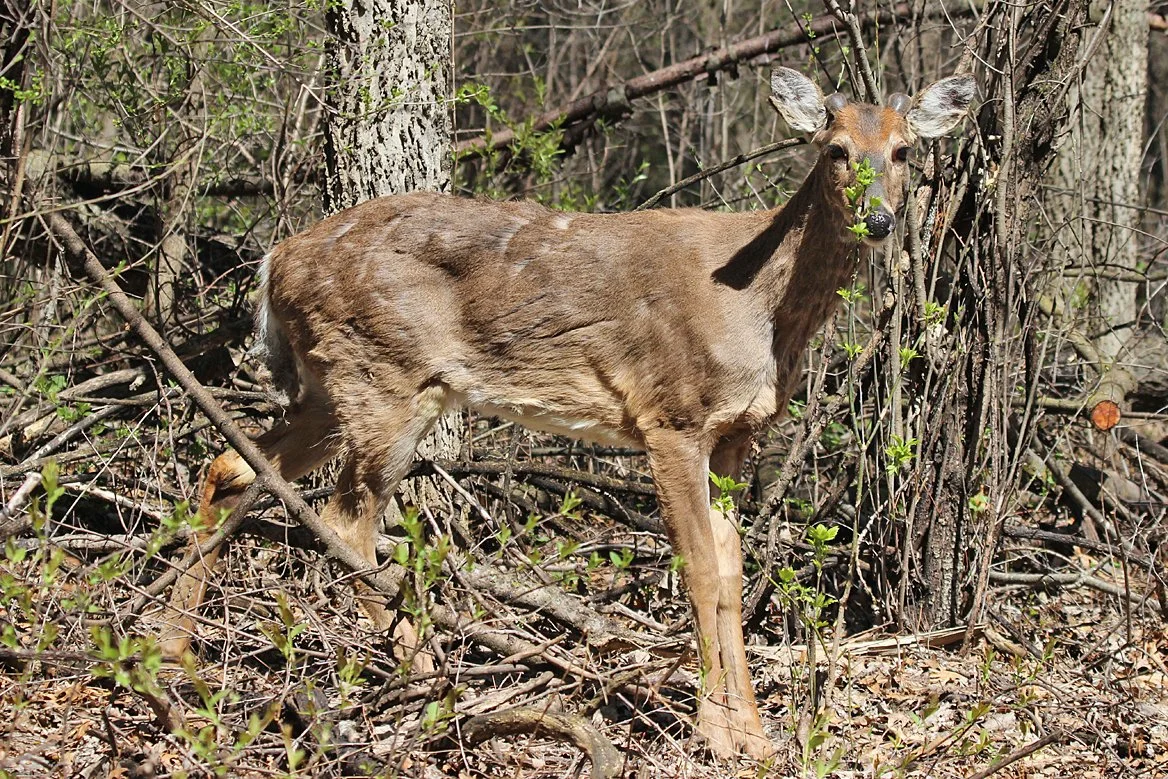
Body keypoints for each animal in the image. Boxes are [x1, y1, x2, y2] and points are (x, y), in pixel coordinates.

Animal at [157, 67, 974, 760]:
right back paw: (429, 677)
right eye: (835, 150)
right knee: (342, 521)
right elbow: (700, 571)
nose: (880, 219)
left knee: (232, 466)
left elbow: (735, 575)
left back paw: (173, 655)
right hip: (381, 377)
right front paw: (716, 734)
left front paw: (755, 734)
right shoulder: (669, 415)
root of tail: (274, 261)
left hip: (335, 390)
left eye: (903, 151)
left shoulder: (738, 435)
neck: (764, 310)